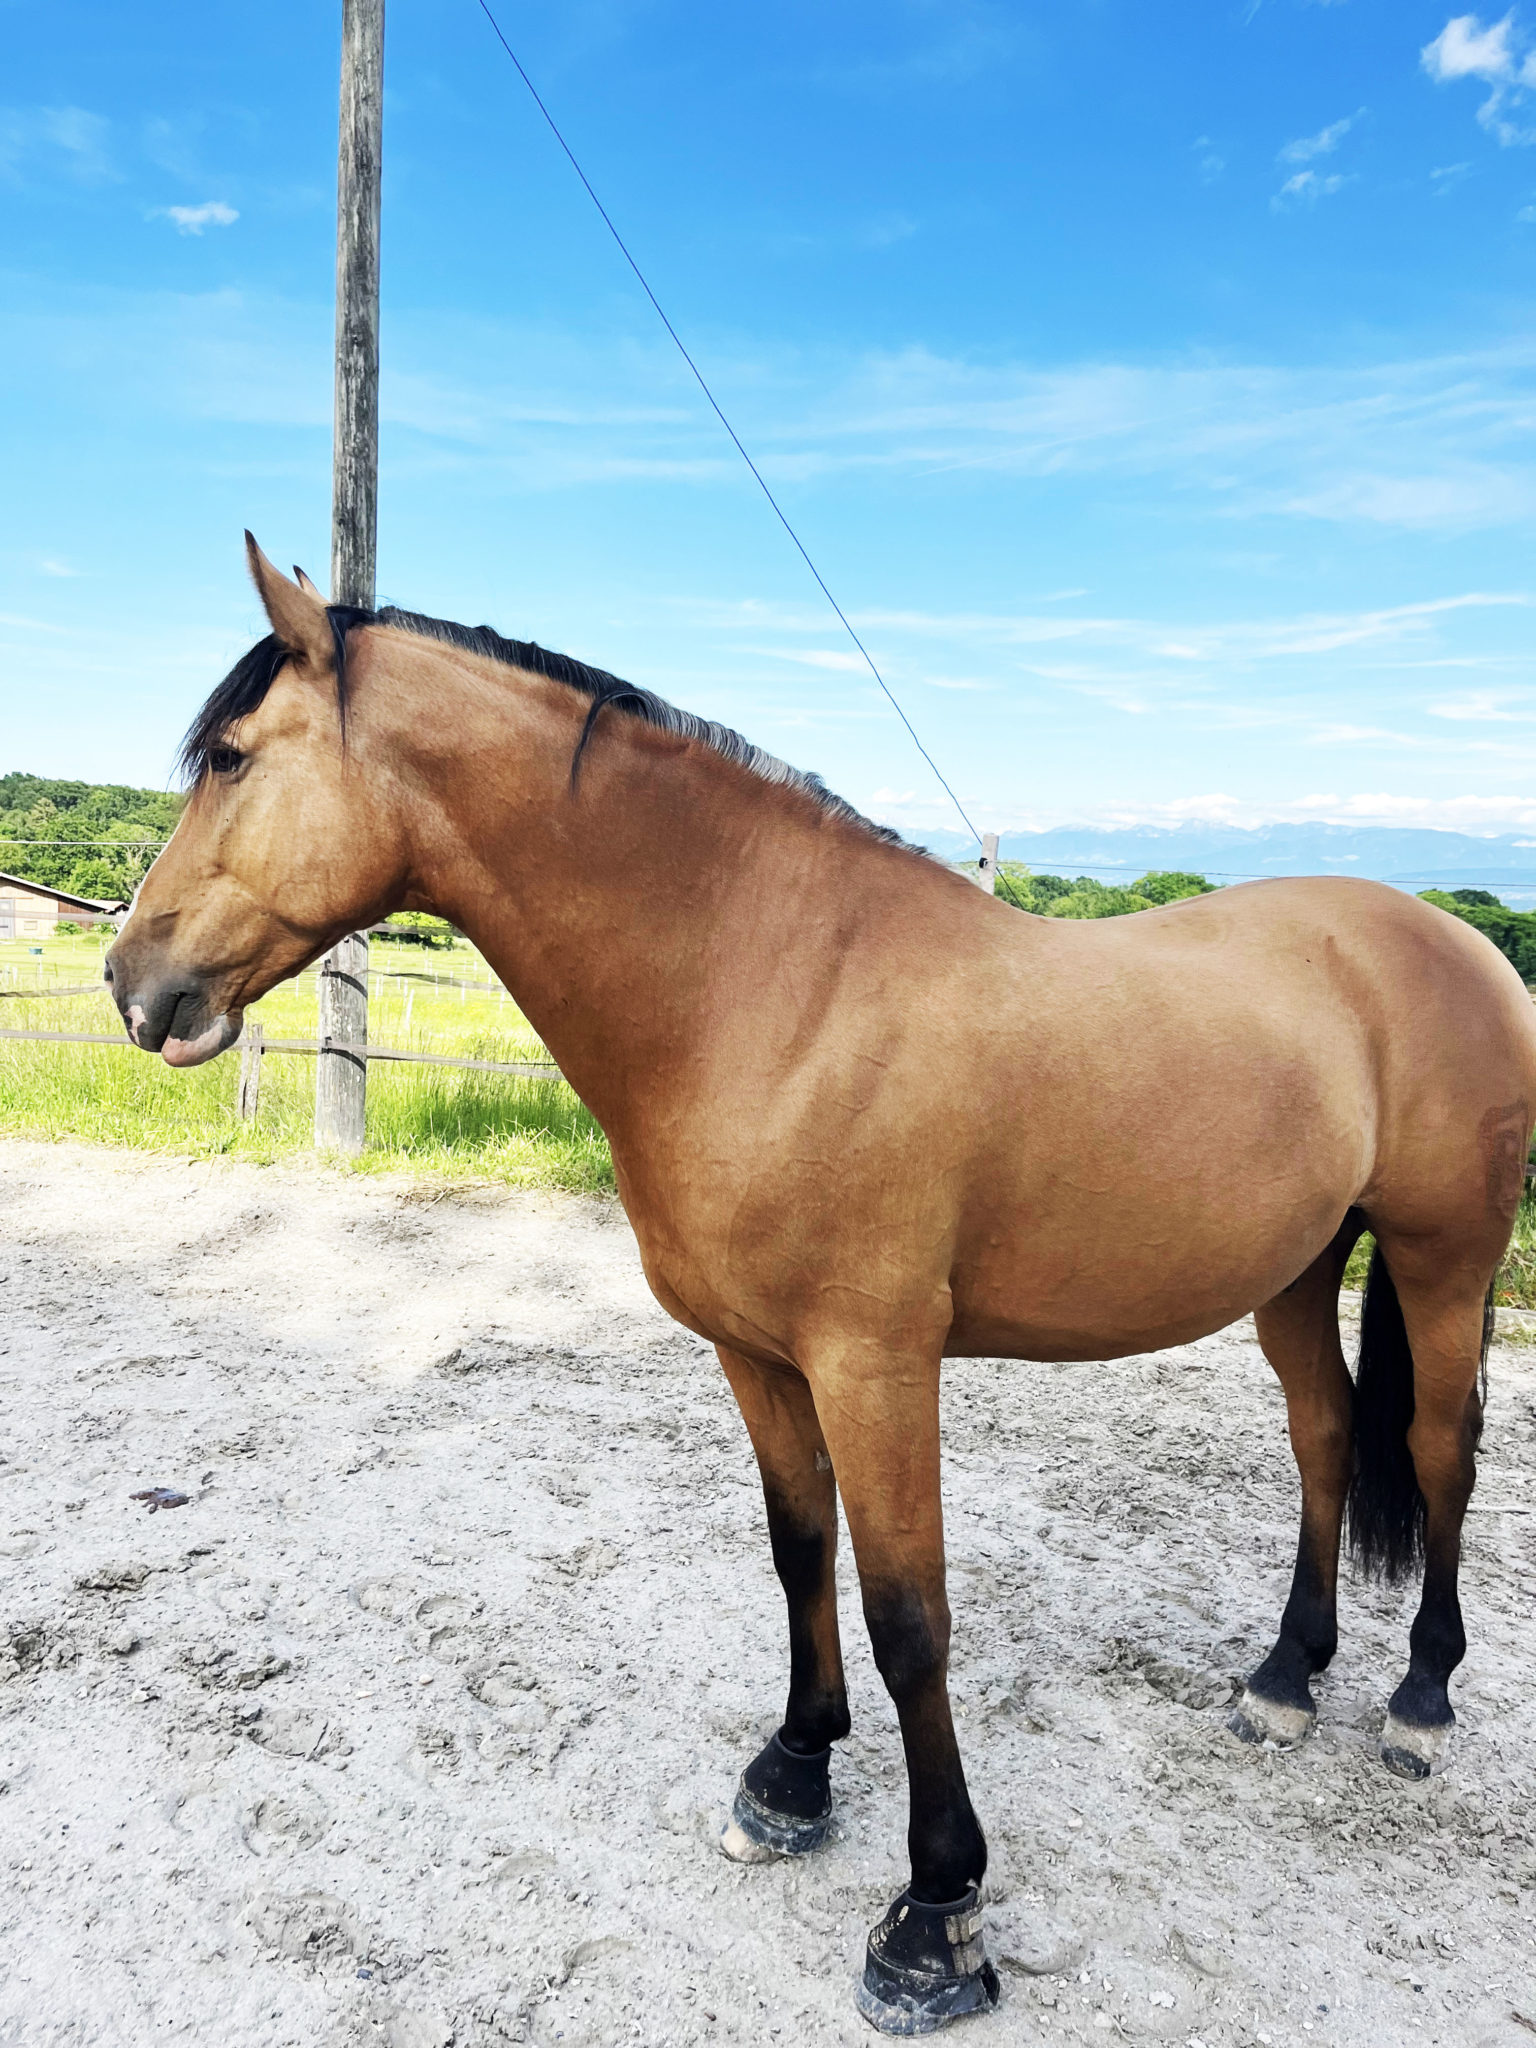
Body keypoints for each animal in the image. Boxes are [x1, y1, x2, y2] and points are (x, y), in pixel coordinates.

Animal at [105, 537, 1536, 2034]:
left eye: (231, 758)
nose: (131, 980)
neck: (776, 992)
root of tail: (1454, 941)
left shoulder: (876, 1363)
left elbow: (912, 1619)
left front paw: (937, 1913)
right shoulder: (757, 1353)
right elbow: (801, 1550)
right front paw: (792, 1775)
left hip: (1440, 1260)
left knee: (1438, 1448)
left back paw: (1419, 1699)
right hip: (1297, 1270)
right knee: (1325, 1437)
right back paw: (1284, 1677)